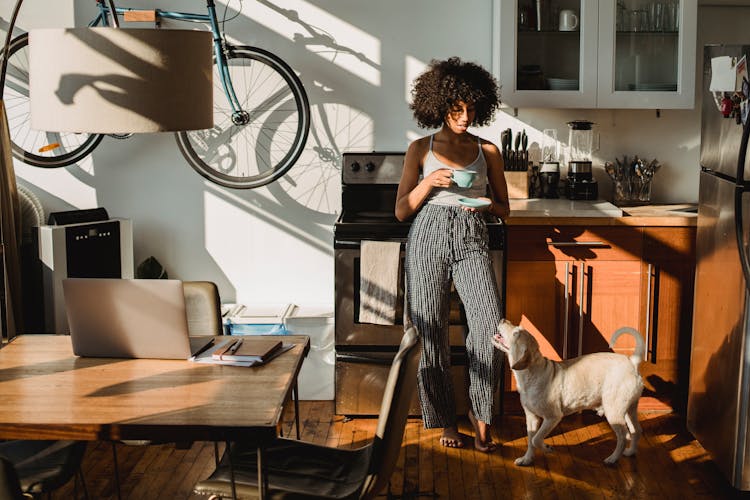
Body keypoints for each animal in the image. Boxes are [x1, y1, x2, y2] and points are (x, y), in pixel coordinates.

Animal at [494, 320, 648, 464]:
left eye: (516, 333)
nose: (503, 319)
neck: (530, 373)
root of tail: (632, 362)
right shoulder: (531, 417)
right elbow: (531, 440)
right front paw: (527, 460)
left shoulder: (553, 417)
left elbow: (536, 439)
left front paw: (547, 448)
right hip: (629, 409)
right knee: (636, 430)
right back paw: (630, 452)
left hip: (614, 411)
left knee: (623, 436)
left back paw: (612, 459)